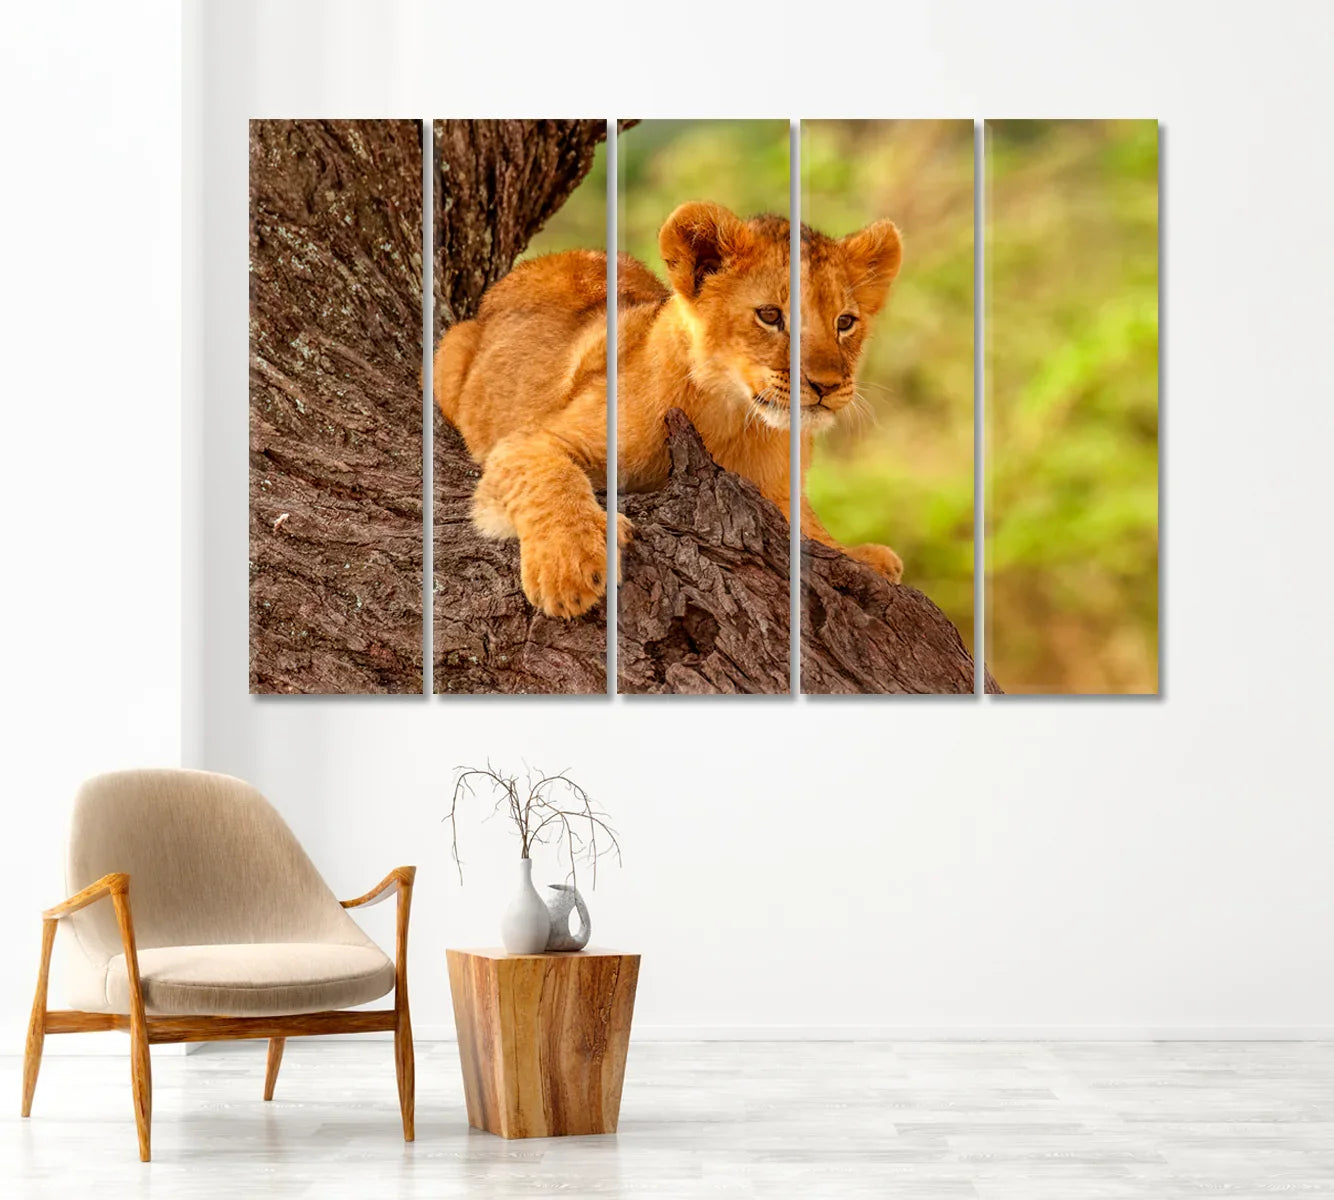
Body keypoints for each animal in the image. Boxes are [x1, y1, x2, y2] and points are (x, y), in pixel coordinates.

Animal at [434, 201, 904, 618]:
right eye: (770, 316)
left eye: (845, 322)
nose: (827, 386)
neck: (732, 420)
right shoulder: (528, 441)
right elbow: (550, 476)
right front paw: (570, 568)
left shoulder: (780, 492)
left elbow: (810, 527)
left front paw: (861, 555)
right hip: (449, 351)